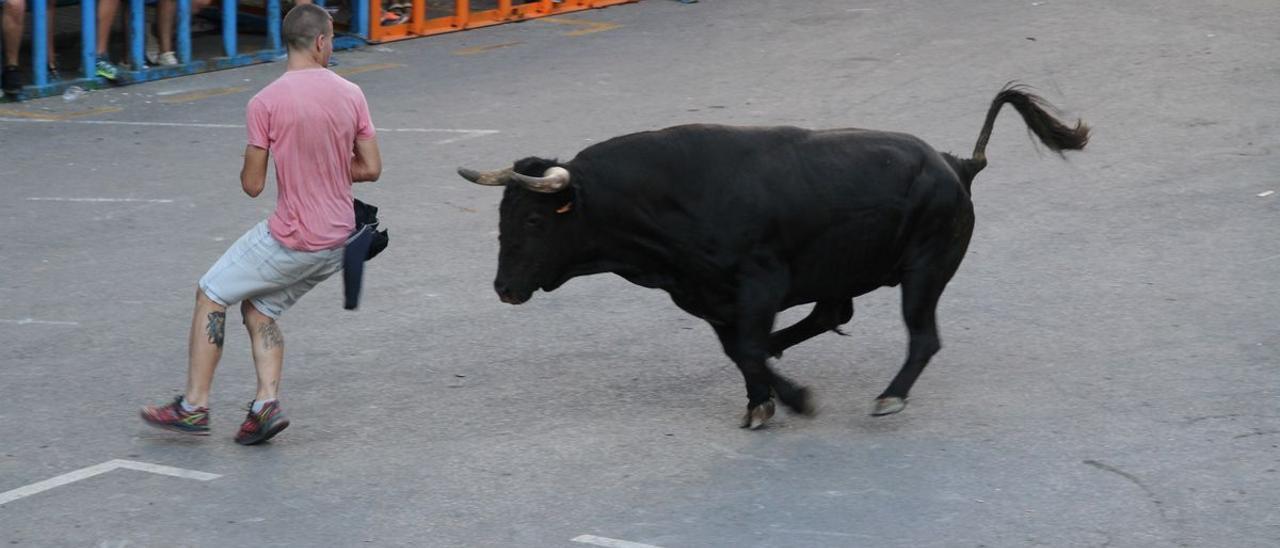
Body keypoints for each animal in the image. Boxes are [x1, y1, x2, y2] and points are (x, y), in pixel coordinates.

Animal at [455, 84, 1085, 427]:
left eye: (533, 219)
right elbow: (742, 350)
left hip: (925, 271)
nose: (504, 288)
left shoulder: (759, 284)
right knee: (831, 314)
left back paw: (889, 397)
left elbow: (751, 348)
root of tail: (956, 164)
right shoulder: (709, 298)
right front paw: (764, 401)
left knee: (922, 337)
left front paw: (794, 398)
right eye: (503, 218)